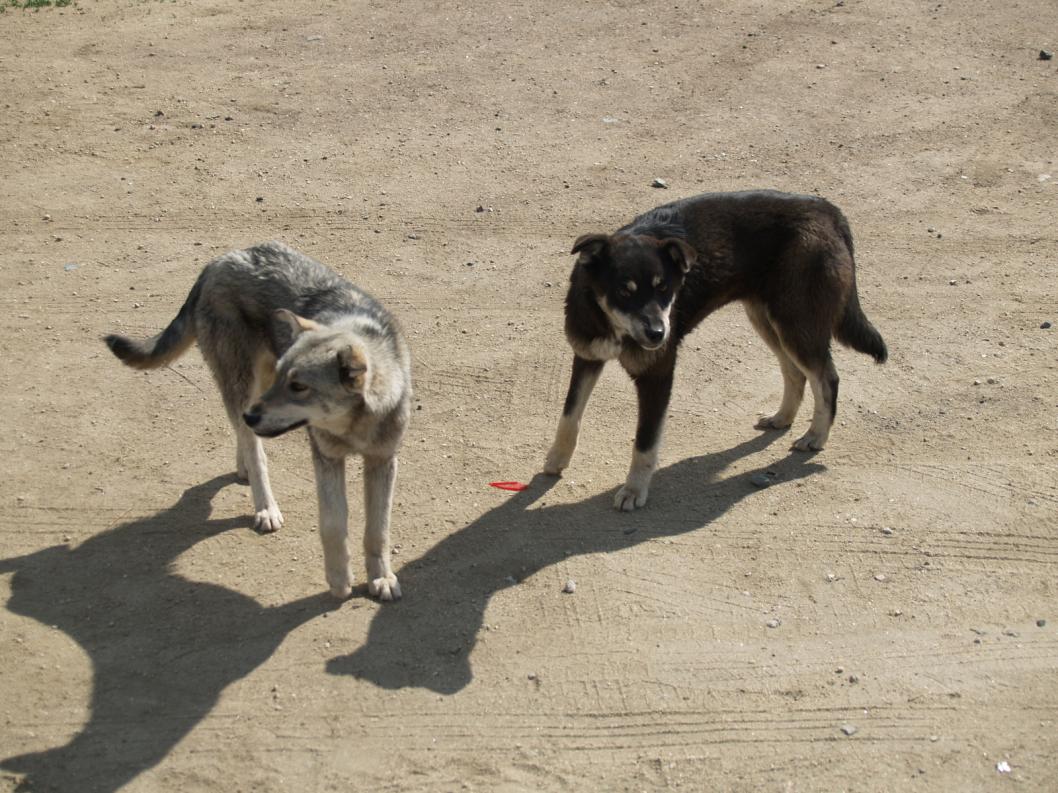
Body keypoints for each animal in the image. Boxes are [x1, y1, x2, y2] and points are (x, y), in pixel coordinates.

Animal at [103, 242, 408, 600]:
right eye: (286, 378)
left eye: (298, 386)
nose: (252, 416)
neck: (355, 424)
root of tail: (221, 259)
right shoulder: (326, 459)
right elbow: (333, 525)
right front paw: (338, 580)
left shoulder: (382, 462)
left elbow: (378, 530)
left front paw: (381, 577)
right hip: (244, 385)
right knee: (253, 446)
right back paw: (265, 507)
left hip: (253, 386)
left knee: (243, 435)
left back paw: (243, 465)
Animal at [545, 190, 884, 511]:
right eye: (623, 291)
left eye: (664, 288)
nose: (658, 334)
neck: (612, 323)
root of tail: (828, 209)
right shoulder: (587, 356)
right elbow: (569, 415)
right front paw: (556, 458)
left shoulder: (657, 376)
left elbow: (644, 443)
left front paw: (634, 490)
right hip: (768, 320)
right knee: (795, 372)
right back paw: (782, 417)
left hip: (795, 321)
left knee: (826, 378)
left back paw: (816, 435)